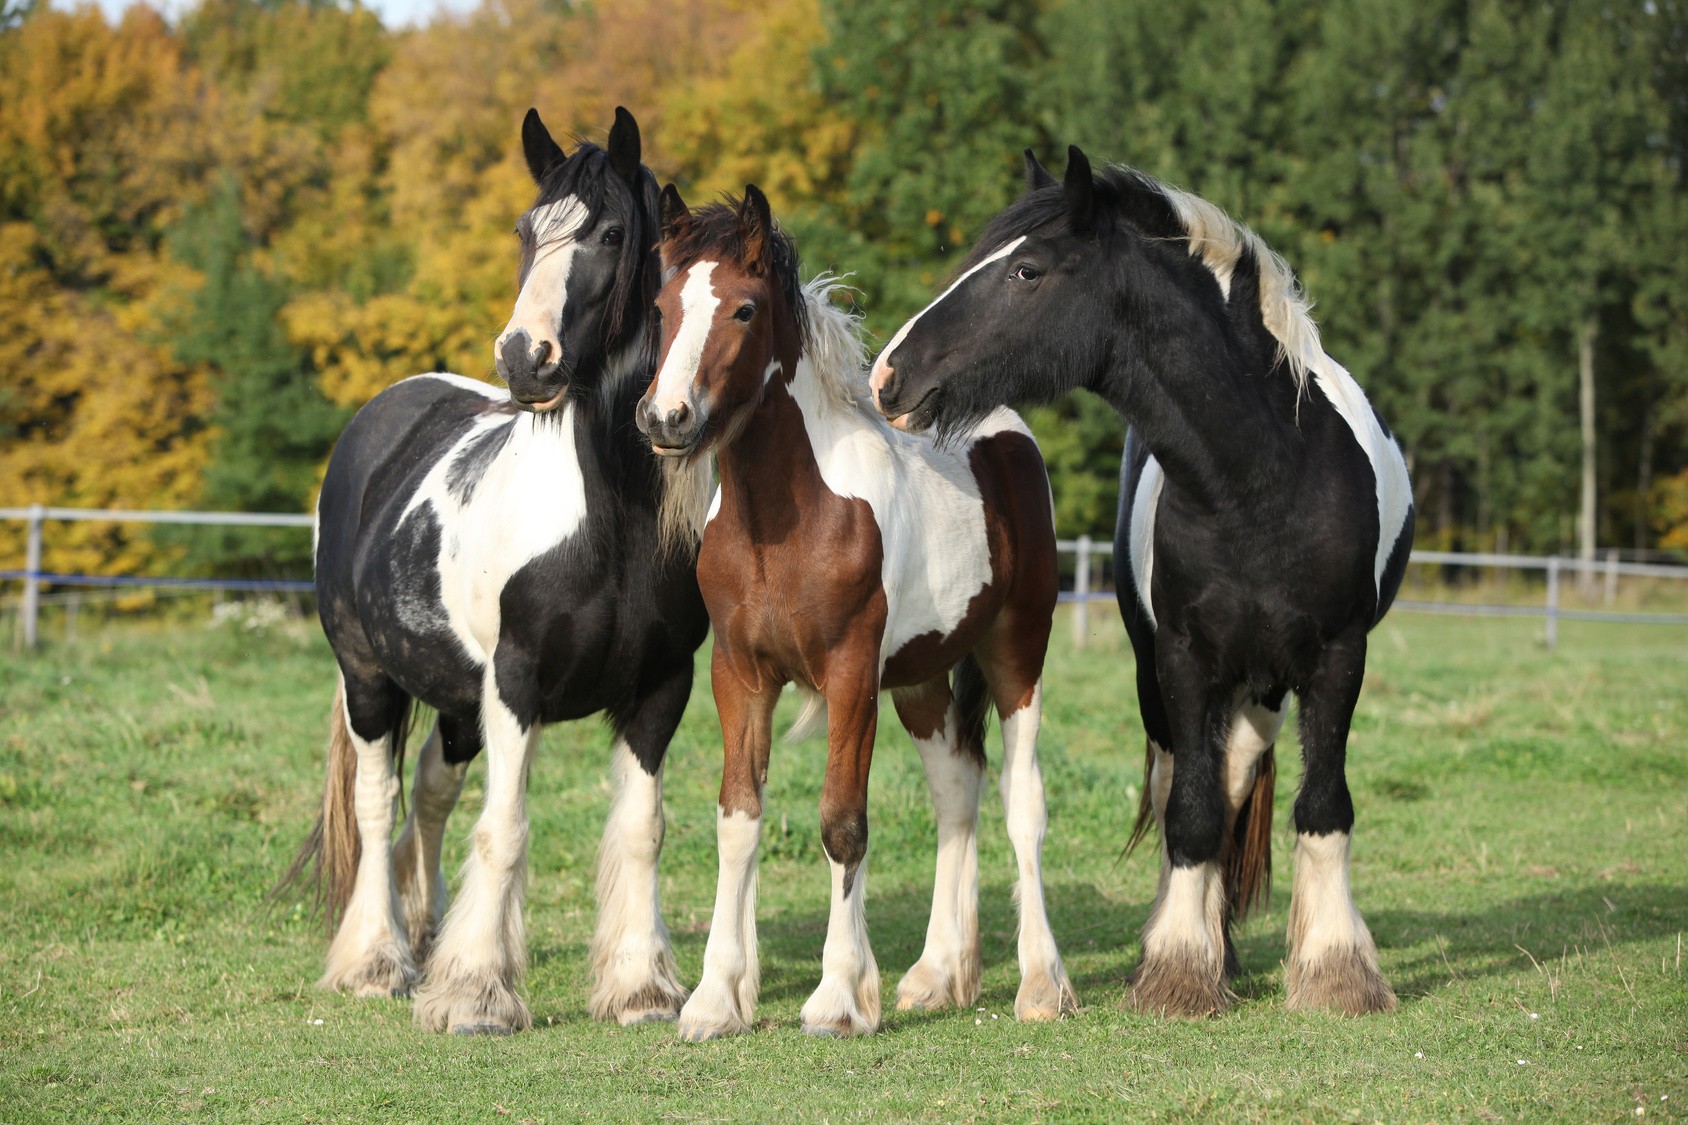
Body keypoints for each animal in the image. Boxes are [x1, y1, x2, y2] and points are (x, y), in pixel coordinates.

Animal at [282, 107, 711, 1035]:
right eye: (525, 230)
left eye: (610, 233)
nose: (524, 357)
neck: (610, 525)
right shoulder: (516, 685)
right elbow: (506, 828)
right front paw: (476, 992)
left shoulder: (662, 685)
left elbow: (641, 829)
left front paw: (639, 987)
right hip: (369, 678)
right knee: (377, 800)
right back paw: (376, 959)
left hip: (453, 699)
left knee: (430, 793)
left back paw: (423, 932)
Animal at [635, 184, 1078, 1039]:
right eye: (663, 305)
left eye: (744, 309)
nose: (665, 419)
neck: (790, 517)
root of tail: (1004, 429)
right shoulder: (740, 674)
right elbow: (738, 818)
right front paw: (715, 999)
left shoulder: (848, 675)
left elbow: (843, 822)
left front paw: (839, 997)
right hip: (921, 679)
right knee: (956, 791)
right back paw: (940, 975)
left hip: (1018, 651)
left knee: (1022, 800)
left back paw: (1043, 983)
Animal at [869, 147, 1415, 1018]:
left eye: (1027, 270)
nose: (890, 375)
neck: (1265, 479)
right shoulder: (1183, 660)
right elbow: (1188, 811)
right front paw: (1180, 968)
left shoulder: (1338, 657)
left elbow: (1323, 805)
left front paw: (1336, 970)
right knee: (1189, 786)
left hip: (1265, 681)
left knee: (1237, 779)